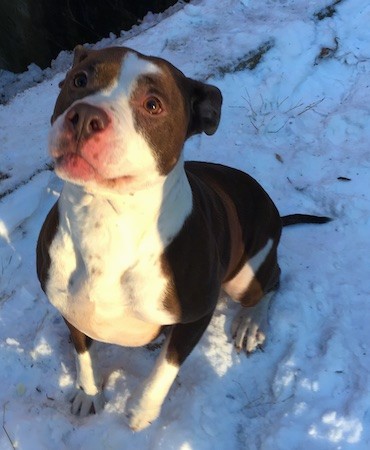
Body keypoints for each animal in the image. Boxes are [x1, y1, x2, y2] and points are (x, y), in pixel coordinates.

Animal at [35, 44, 330, 428]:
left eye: (153, 104)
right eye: (80, 79)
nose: (84, 117)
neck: (105, 218)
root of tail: (274, 211)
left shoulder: (197, 313)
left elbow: (166, 365)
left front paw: (141, 409)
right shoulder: (70, 309)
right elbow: (83, 355)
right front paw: (89, 393)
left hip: (243, 275)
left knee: (273, 279)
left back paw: (250, 322)